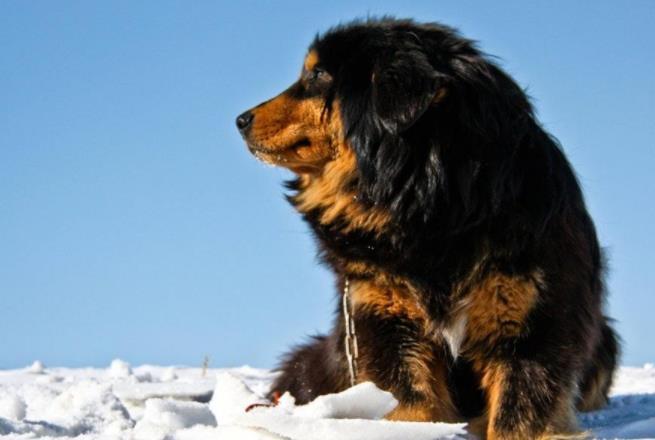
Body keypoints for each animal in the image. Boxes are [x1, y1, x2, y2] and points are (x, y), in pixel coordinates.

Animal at [236, 18, 620, 440]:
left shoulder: (533, 318)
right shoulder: (383, 315)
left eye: (318, 75)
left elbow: (518, 412)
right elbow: (410, 401)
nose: (241, 120)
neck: (428, 203)